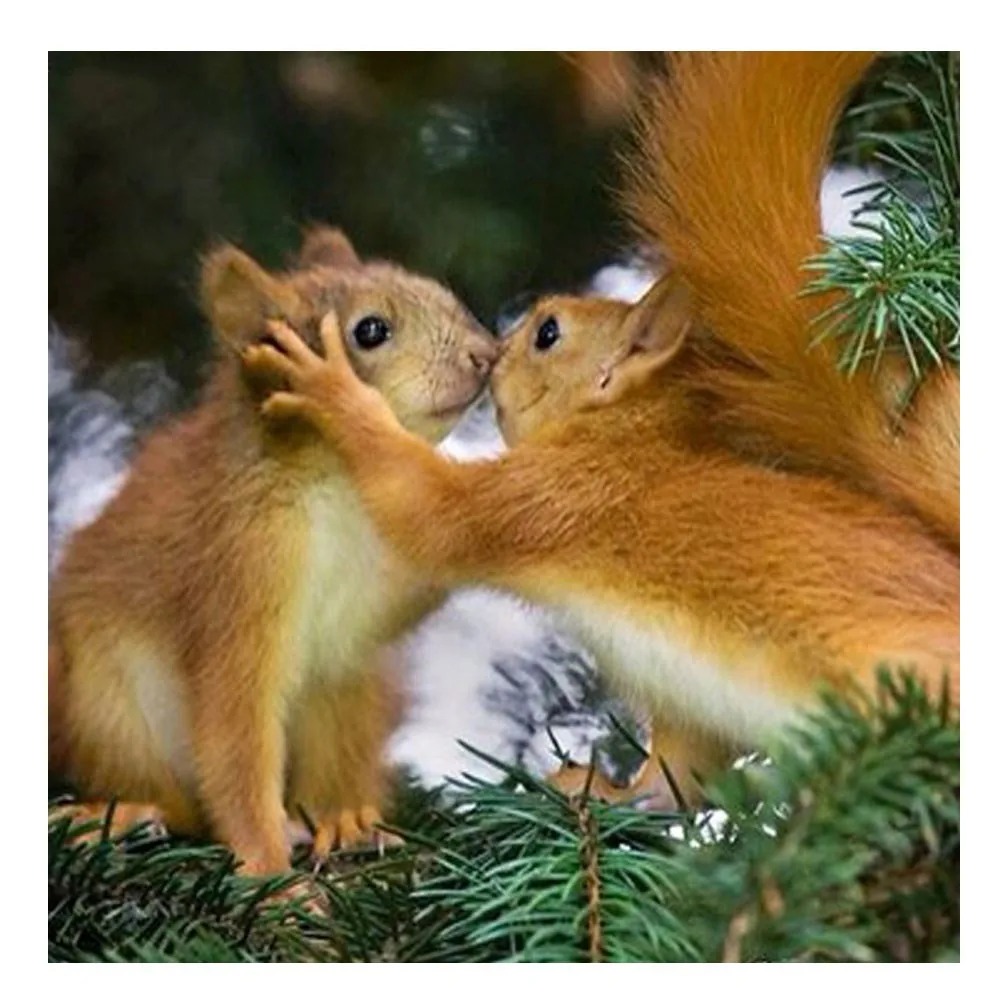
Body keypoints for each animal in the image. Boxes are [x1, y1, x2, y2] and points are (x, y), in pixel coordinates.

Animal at [48, 225, 499, 875]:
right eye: (370, 331)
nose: (487, 354)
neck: (338, 486)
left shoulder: (365, 607)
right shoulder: (240, 571)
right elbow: (237, 736)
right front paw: (272, 875)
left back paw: (345, 818)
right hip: (104, 708)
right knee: (178, 803)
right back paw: (119, 817)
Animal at [240, 52, 959, 809]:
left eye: (549, 333)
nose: (491, 352)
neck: (621, 437)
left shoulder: (554, 494)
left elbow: (430, 508)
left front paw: (331, 388)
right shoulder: (684, 712)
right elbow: (673, 778)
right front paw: (601, 791)